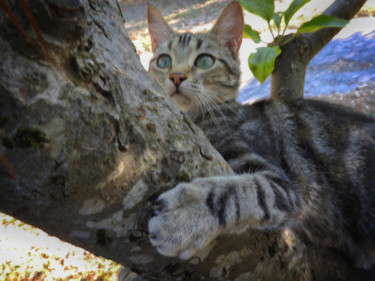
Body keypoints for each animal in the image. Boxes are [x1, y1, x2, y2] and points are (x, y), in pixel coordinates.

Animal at [146, 0, 375, 268]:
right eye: (163, 61)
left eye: (204, 61)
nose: (176, 76)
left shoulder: (285, 188)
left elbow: (238, 193)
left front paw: (185, 214)